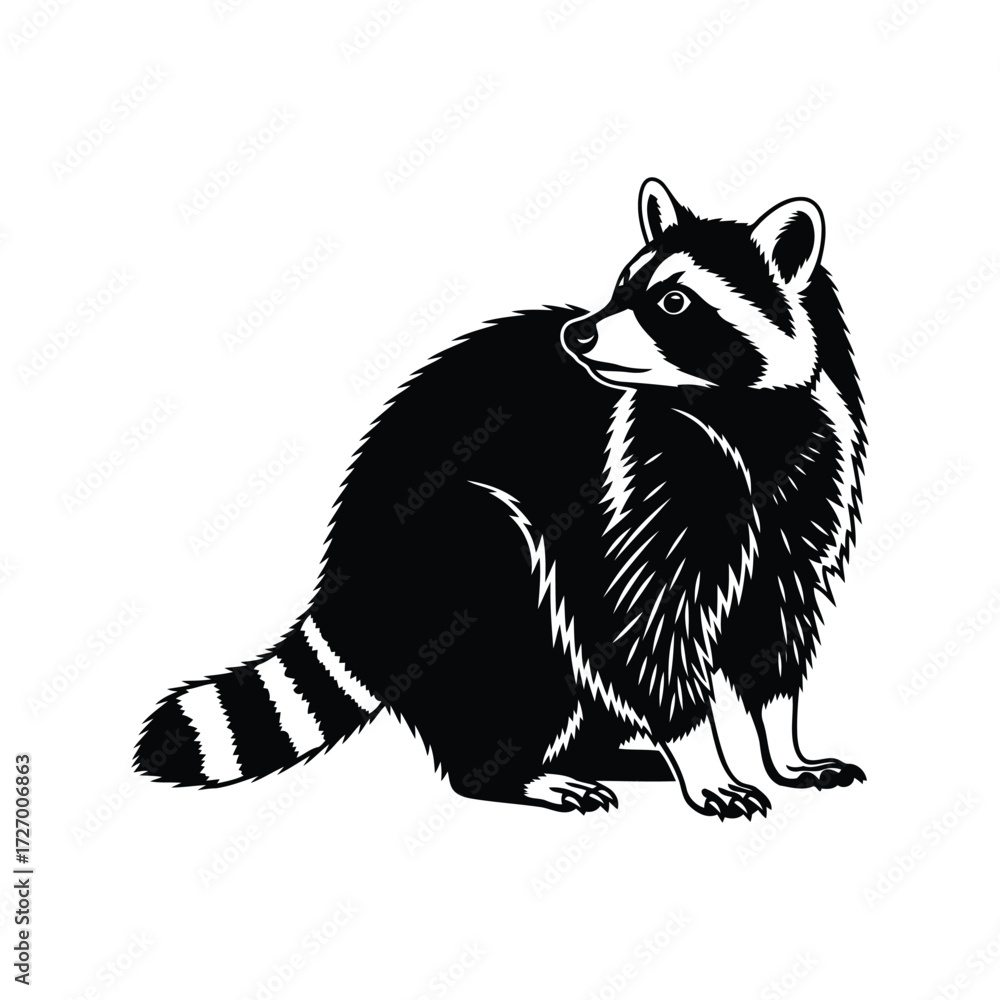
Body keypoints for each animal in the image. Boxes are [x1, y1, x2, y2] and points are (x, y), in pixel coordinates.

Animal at [136, 178, 865, 821]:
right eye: (620, 291)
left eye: (674, 302)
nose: (579, 334)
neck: (741, 415)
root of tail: (348, 573)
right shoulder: (636, 489)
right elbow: (643, 633)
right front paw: (700, 752)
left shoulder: (805, 480)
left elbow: (775, 623)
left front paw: (784, 743)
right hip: (453, 563)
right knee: (512, 617)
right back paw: (514, 773)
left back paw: (600, 755)